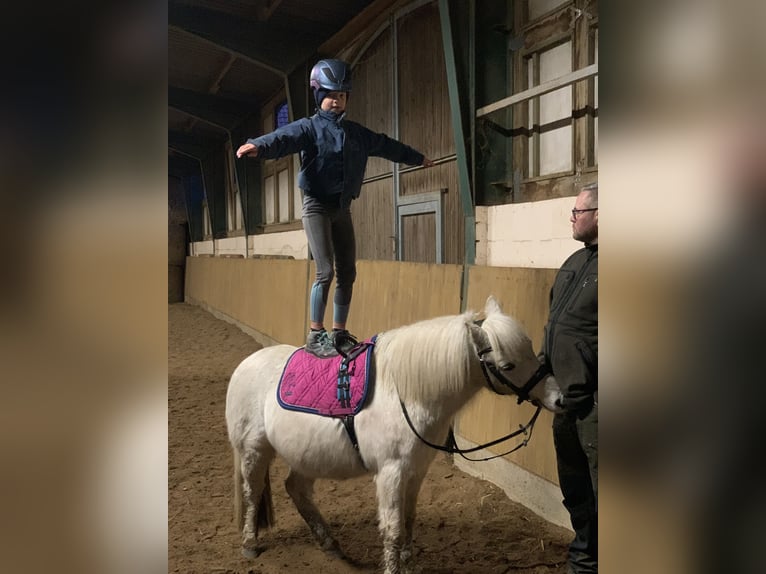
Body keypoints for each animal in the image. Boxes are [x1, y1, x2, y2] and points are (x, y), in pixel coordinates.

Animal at [225, 296, 564, 574]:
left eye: (531, 348)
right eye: (508, 364)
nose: (558, 398)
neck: (405, 392)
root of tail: (245, 365)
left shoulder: (416, 471)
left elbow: (409, 521)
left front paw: (409, 564)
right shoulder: (391, 472)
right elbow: (393, 529)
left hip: (308, 456)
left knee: (296, 489)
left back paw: (331, 545)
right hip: (255, 450)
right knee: (253, 491)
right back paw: (250, 543)